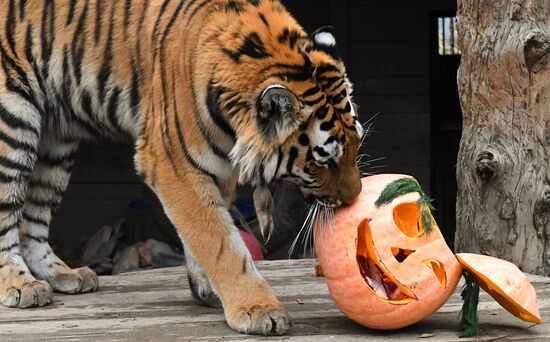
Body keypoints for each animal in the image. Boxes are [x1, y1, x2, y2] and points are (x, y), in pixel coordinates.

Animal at [1, 0, 366, 336]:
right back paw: (20, 285)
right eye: (322, 161)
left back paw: (63, 274)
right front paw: (257, 307)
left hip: (56, 144)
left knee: (34, 220)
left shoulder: (218, 168)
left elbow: (205, 231)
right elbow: (218, 240)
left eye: (356, 145)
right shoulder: (172, 164)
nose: (353, 198)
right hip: (13, 121)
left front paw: (207, 289)